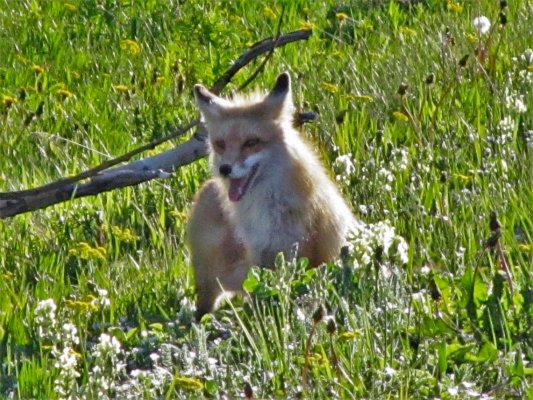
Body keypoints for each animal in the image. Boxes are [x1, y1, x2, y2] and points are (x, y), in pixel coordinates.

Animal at [187, 70, 358, 318]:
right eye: (220, 144)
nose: (225, 169)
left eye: (251, 142)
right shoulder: (260, 254)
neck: (265, 210)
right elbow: (261, 290)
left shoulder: (300, 251)